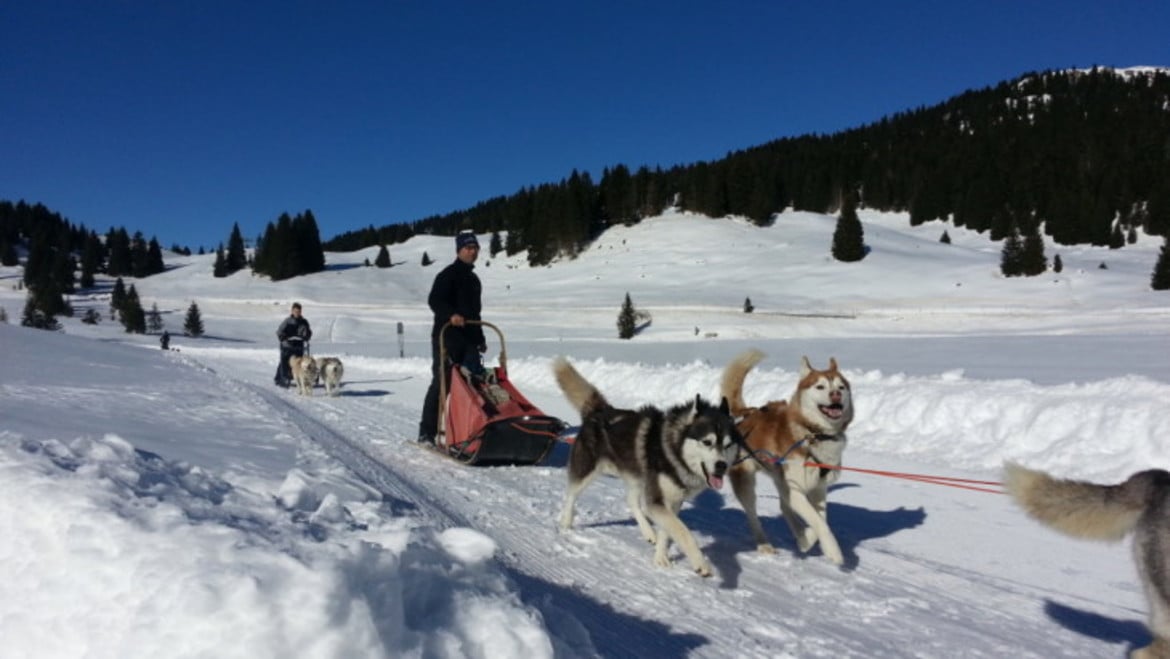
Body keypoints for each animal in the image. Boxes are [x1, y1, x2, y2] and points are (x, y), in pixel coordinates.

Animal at [549, 355, 734, 578]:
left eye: (728, 445)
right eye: (707, 442)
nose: (722, 465)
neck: (672, 449)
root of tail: (601, 411)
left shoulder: (671, 502)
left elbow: (667, 531)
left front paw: (660, 558)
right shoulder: (658, 500)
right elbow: (683, 531)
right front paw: (701, 563)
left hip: (637, 478)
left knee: (632, 502)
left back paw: (648, 532)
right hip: (587, 469)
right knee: (571, 494)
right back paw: (566, 522)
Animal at [716, 351, 856, 566]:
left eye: (841, 387)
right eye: (820, 386)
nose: (836, 395)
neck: (814, 434)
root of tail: (746, 415)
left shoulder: (818, 489)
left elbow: (820, 519)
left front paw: (805, 539)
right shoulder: (795, 489)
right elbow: (818, 522)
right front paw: (833, 550)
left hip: (779, 478)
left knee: (783, 506)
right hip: (747, 481)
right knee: (753, 515)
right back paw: (764, 544)